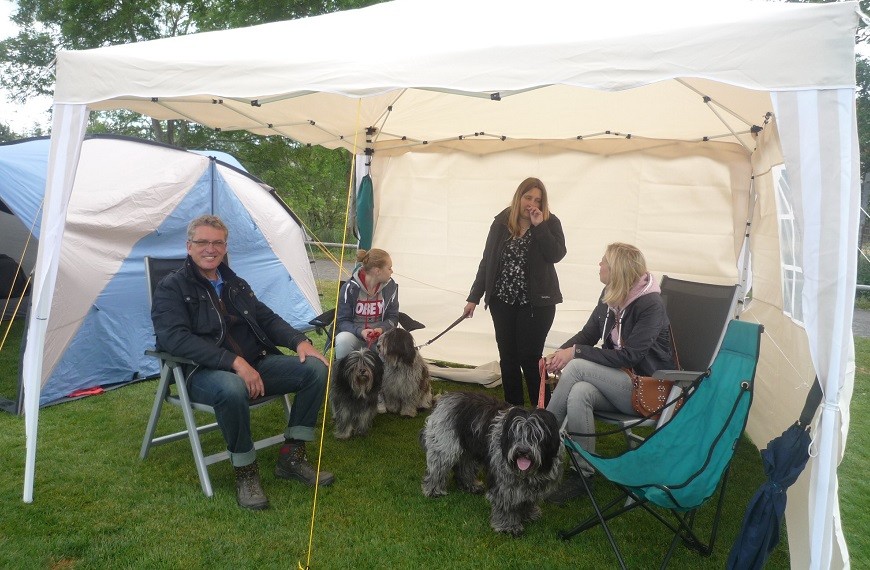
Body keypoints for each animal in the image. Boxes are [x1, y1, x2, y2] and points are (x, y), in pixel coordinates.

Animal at [422, 390, 564, 532]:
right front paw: (508, 526)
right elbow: (506, 503)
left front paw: (529, 514)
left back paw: (470, 485)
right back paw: (433, 490)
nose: (523, 451)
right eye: (515, 434)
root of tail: (447, 396)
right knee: (438, 469)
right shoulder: (504, 481)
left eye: (536, 436)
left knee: (465, 466)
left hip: (468, 450)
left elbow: (528, 500)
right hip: (443, 448)